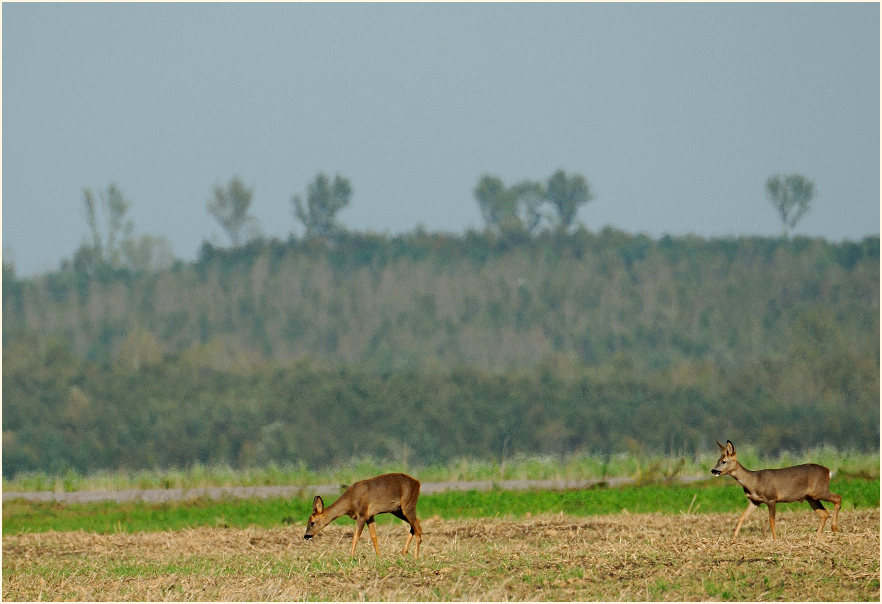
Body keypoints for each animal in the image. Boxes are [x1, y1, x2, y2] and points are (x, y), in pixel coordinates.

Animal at [708, 438, 840, 536]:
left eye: (724, 461)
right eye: (718, 460)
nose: (713, 471)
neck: (753, 481)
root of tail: (828, 471)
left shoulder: (771, 498)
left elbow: (772, 521)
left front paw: (775, 539)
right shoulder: (755, 501)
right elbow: (742, 516)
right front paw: (733, 538)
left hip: (819, 491)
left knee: (838, 498)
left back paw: (834, 528)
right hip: (810, 497)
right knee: (824, 513)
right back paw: (818, 535)